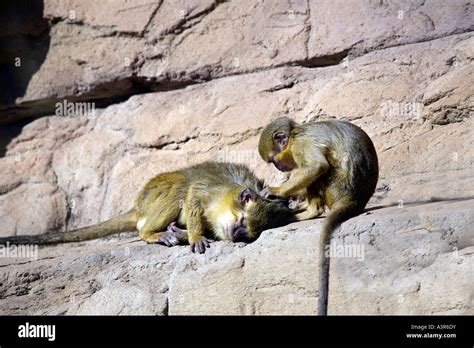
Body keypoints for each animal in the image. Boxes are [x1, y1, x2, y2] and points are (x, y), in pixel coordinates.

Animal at [0, 162, 296, 254]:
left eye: (248, 232)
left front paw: (186, 232)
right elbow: (192, 193)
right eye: (242, 223)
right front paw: (196, 236)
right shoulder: (213, 191)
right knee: (178, 189)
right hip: (152, 195)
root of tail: (138, 205)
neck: (228, 200)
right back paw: (154, 233)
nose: (237, 235)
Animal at [258, 117, 380, 316]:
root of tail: (355, 201)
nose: (278, 167)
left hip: (335, 188)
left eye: (273, 160)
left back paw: (311, 211)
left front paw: (275, 191)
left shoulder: (300, 145)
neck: (294, 134)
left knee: (320, 172)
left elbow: (317, 167)